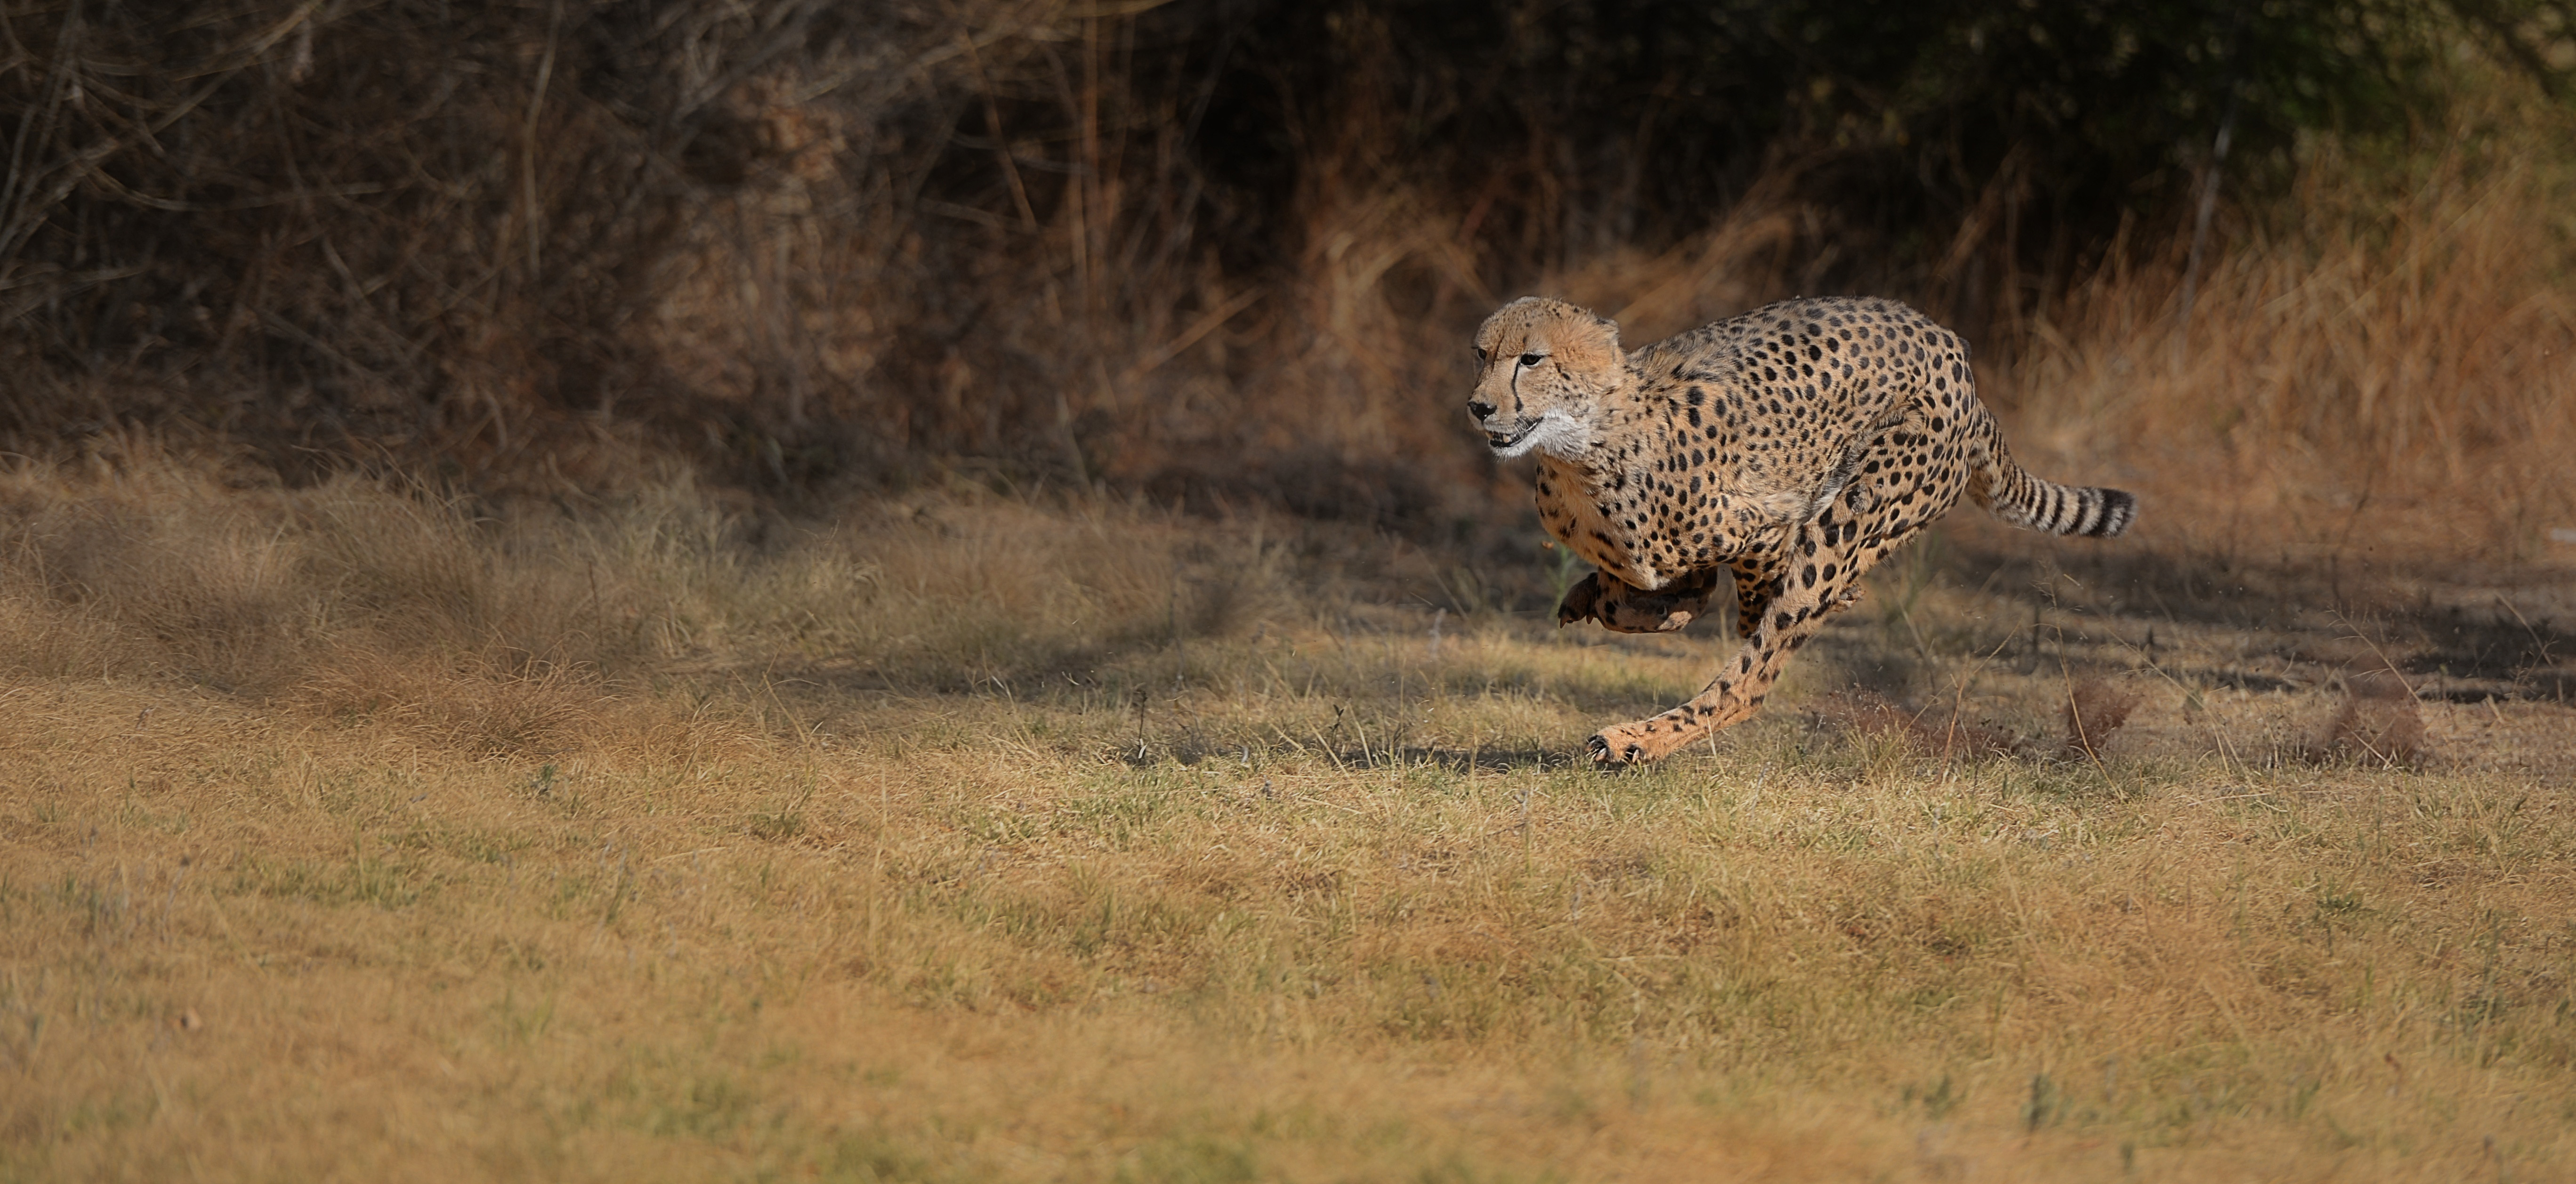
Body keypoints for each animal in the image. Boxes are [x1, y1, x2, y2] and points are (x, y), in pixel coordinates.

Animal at [1466, 294, 2135, 767]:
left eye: (1531, 359)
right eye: (1481, 354)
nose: (1479, 406)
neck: (1581, 448)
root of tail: (1956, 357)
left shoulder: (1770, 526)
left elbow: (1741, 609)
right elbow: (1652, 587)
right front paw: (1612, 598)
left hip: (1849, 517)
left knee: (1752, 679)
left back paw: (1635, 739)